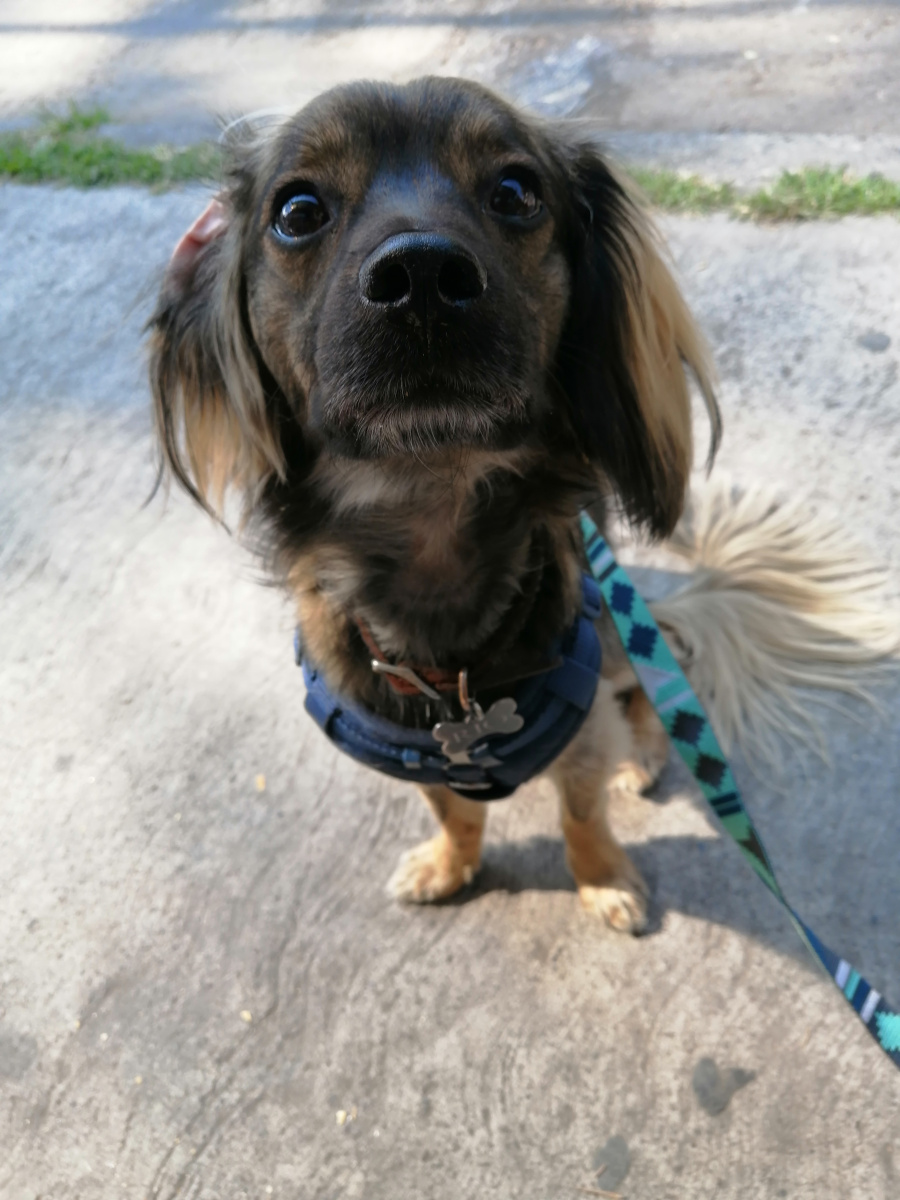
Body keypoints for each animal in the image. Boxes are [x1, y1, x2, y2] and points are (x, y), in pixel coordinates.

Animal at [149, 77, 896, 934]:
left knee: (652, 691)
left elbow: (580, 815)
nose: (421, 278)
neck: (429, 518)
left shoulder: (582, 732)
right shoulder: (420, 759)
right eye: (297, 210)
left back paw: (645, 757)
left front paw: (604, 879)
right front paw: (450, 865)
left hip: (622, 640)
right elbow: (454, 810)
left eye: (515, 192)